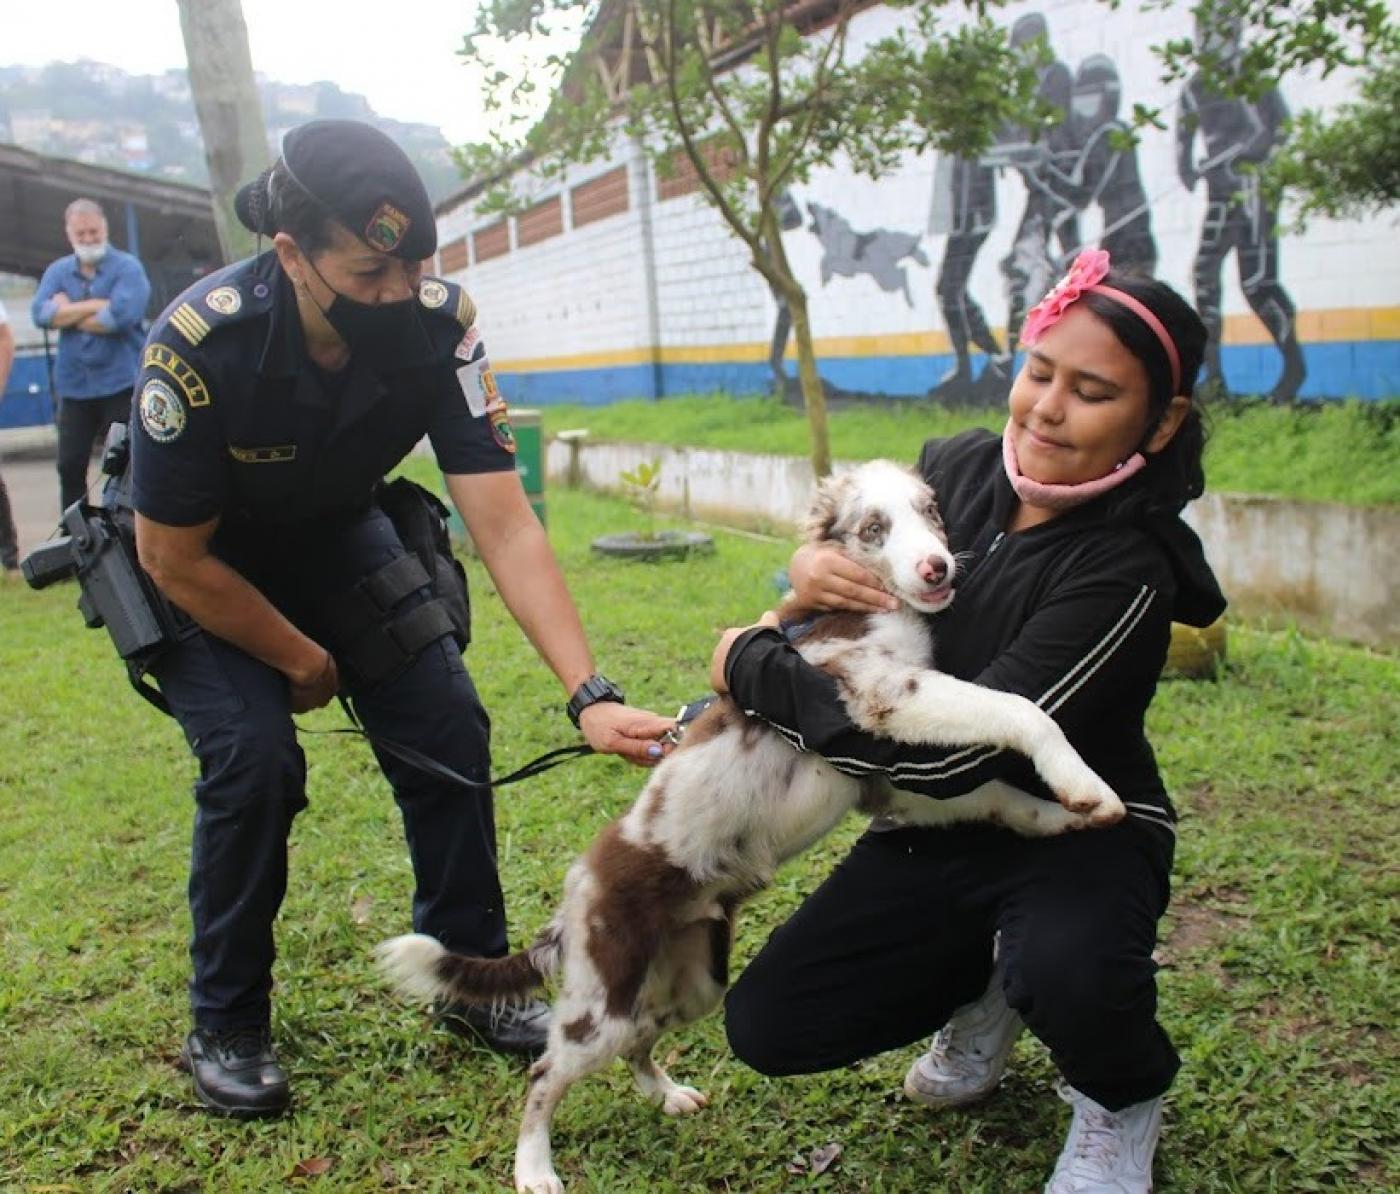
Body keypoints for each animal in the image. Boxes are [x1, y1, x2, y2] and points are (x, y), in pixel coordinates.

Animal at [375, 459, 1125, 1192]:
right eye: (874, 528)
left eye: (931, 514)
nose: (938, 567)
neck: (853, 605)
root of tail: (573, 901)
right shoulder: (882, 699)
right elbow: (1021, 708)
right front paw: (1085, 781)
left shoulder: (888, 782)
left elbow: (999, 793)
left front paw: (1064, 813)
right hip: (600, 1001)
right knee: (543, 1076)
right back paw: (534, 1168)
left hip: (694, 983)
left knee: (641, 1039)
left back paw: (667, 1094)